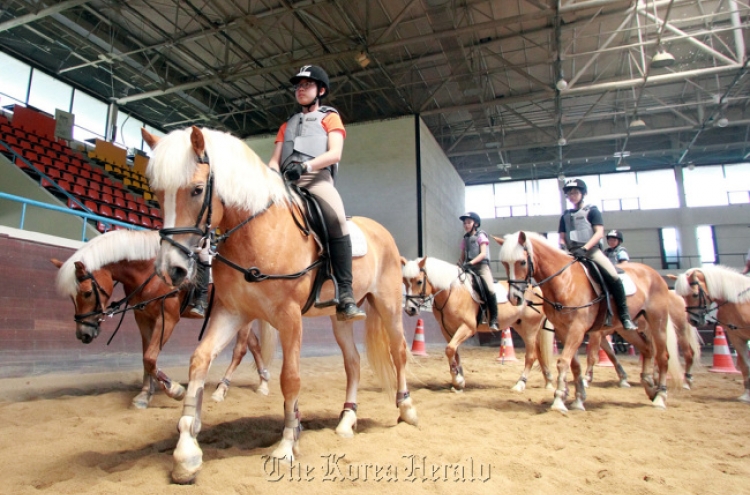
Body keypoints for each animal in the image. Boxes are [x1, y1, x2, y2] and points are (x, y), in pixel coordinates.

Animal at [53, 229, 276, 406]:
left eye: (86, 293)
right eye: (72, 296)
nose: (83, 334)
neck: (150, 273)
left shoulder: (167, 319)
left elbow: (150, 357)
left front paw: (174, 389)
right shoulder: (143, 318)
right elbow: (145, 357)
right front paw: (144, 395)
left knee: (240, 350)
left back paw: (222, 390)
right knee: (254, 345)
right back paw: (263, 384)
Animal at [141, 125, 418, 484]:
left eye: (197, 190)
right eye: (157, 192)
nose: (169, 269)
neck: (257, 231)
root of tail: (381, 232)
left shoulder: (289, 317)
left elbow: (290, 378)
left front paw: (286, 444)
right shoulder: (231, 313)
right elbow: (200, 360)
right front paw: (186, 451)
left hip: (389, 307)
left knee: (399, 352)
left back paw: (407, 409)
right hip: (339, 317)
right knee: (353, 362)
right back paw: (346, 421)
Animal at [402, 258, 556, 394]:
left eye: (419, 281)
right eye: (404, 281)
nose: (410, 309)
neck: (452, 292)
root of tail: (536, 289)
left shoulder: (467, 327)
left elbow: (450, 349)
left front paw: (457, 379)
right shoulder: (447, 330)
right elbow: (454, 352)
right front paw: (459, 381)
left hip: (530, 328)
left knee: (531, 356)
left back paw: (520, 385)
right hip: (522, 327)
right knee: (539, 352)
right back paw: (548, 382)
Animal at [496, 234, 684, 412]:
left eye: (522, 262)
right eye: (504, 263)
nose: (514, 298)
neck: (564, 281)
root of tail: (653, 273)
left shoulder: (578, 328)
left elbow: (566, 361)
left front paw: (559, 400)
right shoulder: (563, 330)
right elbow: (575, 364)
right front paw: (578, 399)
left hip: (657, 321)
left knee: (662, 356)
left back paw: (660, 396)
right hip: (627, 329)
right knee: (647, 349)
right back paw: (650, 387)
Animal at [676, 268, 750, 404]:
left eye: (695, 294)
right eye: (683, 296)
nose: (693, 321)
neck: (742, 302)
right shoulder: (736, 337)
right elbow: (745, 365)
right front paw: (746, 395)